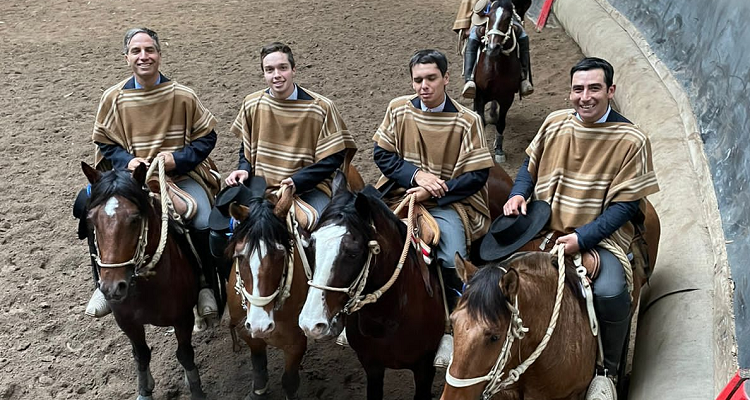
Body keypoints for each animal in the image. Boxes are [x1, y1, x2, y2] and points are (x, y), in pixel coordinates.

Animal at [80, 162, 206, 400]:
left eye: (135, 219)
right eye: (91, 220)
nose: (112, 288)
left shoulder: (182, 318)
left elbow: (185, 354)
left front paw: (196, 390)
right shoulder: (127, 322)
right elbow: (141, 355)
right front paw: (145, 390)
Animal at [226, 178, 312, 400]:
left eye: (281, 255)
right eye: (239, 256)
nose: (260, 325)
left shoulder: (296, 343)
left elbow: (289, 382)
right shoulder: (248, 334)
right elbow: (259, 368)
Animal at [478, 0, 532, 164]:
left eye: (508, 18)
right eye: (489, 16)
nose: (492, 47)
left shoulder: (507, 97)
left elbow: (501, 123)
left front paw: (499, 150)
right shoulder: (479, 94)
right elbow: (480, 120)